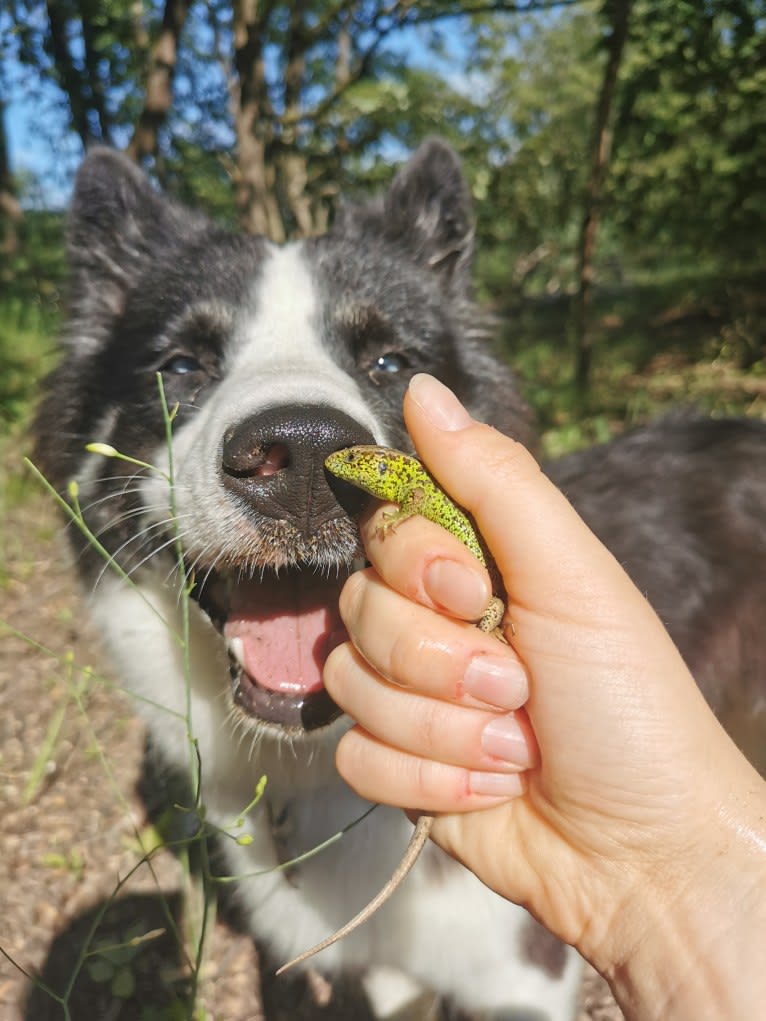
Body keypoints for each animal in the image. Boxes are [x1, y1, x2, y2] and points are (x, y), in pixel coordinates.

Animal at [36, 137, 766, 1021]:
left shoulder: (523, 979)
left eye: (391, 361)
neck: (306, 770)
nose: (299, 450)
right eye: (180, 364)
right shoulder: (385, 977)